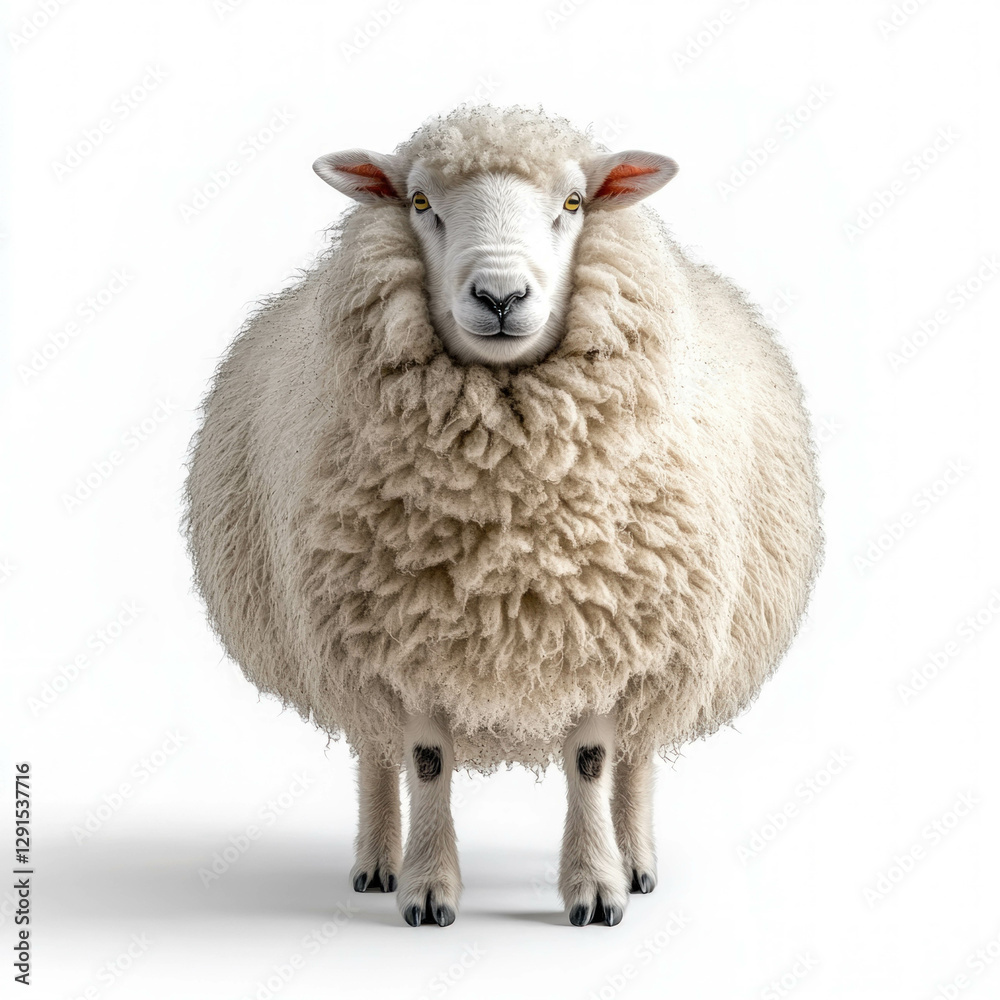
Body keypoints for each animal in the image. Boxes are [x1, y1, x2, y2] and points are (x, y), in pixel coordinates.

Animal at [184, 104, 823, 928]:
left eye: (575, 202)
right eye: (420, 201)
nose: (499, 295)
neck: (510, 512)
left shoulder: (609, 632)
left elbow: (594, 760)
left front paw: (596, 887)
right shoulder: (402, 636)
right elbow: (425, 760)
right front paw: (427, 887)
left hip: (676, 642)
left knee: (640, 754)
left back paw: (638, 860)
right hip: (341, 643)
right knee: (374, 749)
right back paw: (377, 862)